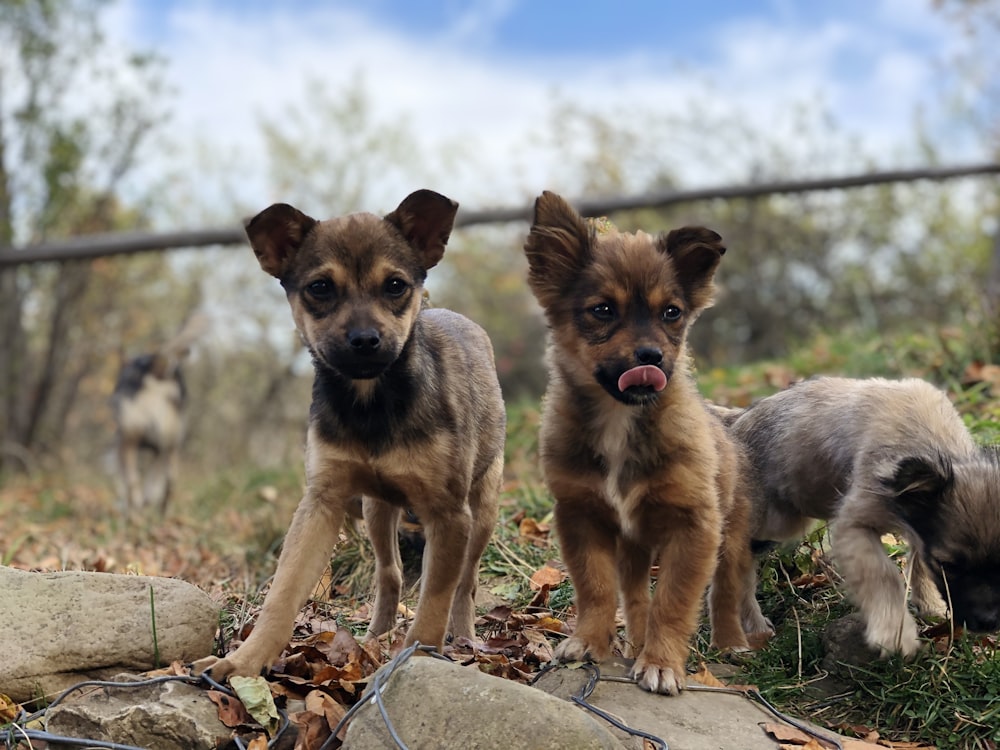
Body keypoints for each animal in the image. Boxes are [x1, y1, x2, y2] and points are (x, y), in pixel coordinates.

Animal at [193, 189, 508, 680]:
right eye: (320, 288)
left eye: (395, 285)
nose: (363, 340)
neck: (371, 401)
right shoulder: (322, 503)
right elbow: (283, 594)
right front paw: (244, 661)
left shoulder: (449, 515)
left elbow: (433, 605)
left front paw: (412, 662)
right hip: (377, 510)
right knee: (390, 573)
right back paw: (376, 636)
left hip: (484, 506)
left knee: (466, 582)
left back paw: (465, 639)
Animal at [724, 376, 1000, 656]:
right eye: (948, 566)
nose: (988, 622)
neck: (932, 444)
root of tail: (735, 422)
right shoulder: (854, 526)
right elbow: (882, 574)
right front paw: (894, 631)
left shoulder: (916, 525)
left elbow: (918, 559)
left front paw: (931, 605)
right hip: (776, 522)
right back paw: (752, 625)